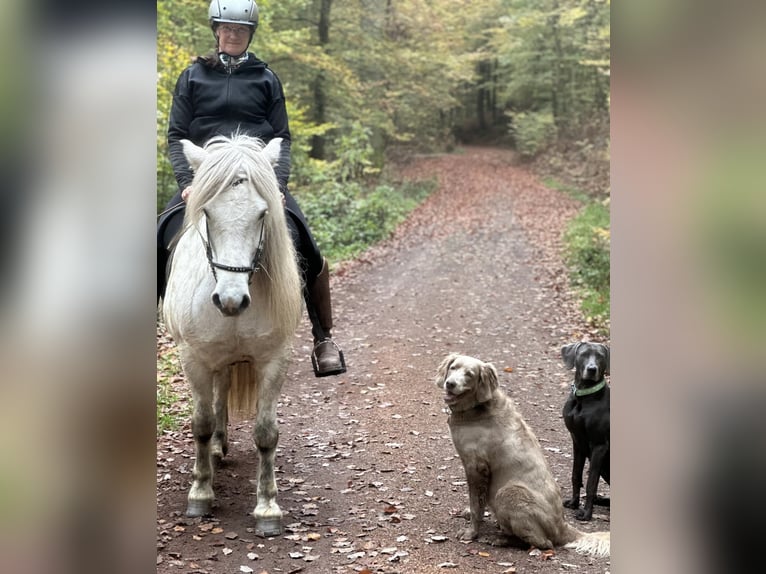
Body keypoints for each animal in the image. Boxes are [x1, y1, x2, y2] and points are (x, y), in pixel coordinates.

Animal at [162, 134, 303, 536]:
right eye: (207, 214)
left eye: (262, 214)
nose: (230, 300)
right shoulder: (192, 357)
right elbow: (201, 423)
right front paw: (200, 493)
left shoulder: (274, 359)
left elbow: (266, 433)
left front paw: (268, 508)